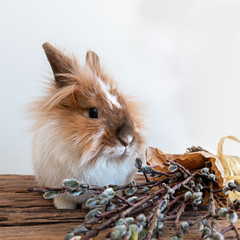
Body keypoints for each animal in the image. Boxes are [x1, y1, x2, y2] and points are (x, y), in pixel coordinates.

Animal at [30, 42, 144, 208]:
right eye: (93, 112)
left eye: (124, 104)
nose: (127, 139)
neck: (97, 160)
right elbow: (63, 201)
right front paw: (64, 208)